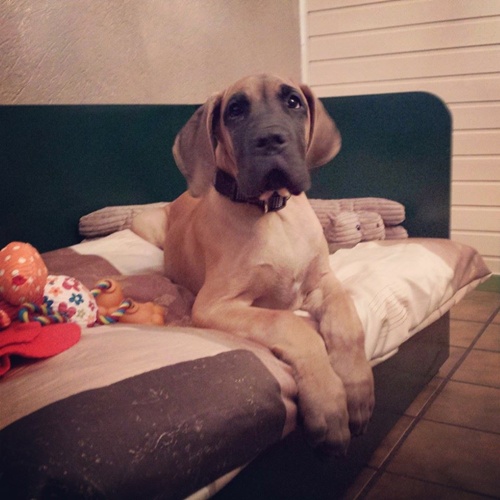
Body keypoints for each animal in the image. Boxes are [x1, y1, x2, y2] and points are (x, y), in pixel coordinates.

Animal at [136, 74, 374, 455]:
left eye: (293, 102)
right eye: (234, 110)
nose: (270, 139)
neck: (272, 212)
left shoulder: (323, 282)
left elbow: (346, 322)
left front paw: (357, 391)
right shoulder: (215, 306)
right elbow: (291, 325)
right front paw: (329, 404)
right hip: (144, 223)